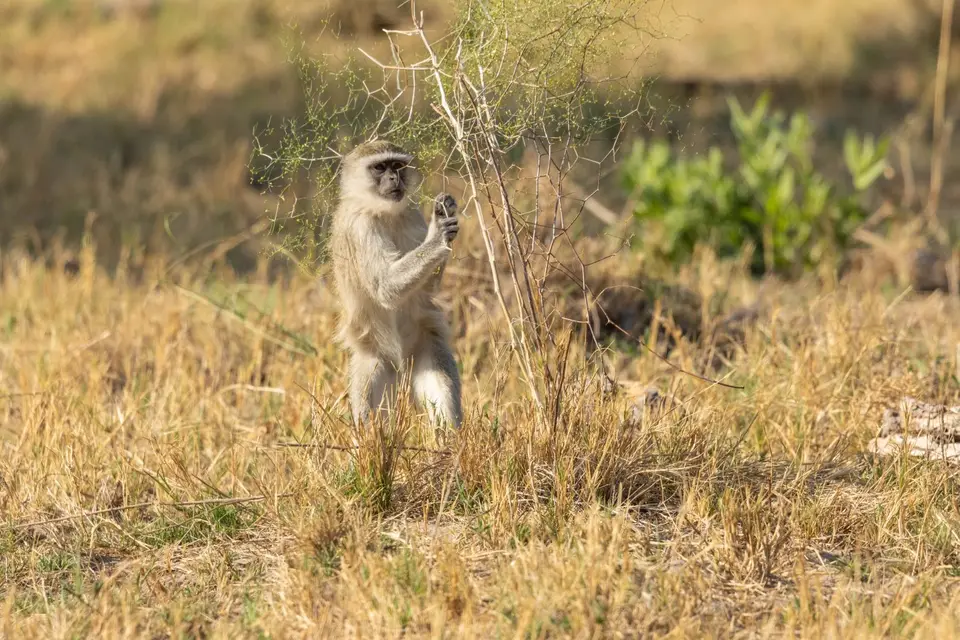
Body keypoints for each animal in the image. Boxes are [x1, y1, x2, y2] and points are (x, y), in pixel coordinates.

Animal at [329, 140, 463, 429]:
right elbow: (385, 288)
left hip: (424, 347)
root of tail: (402, 367)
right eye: (380, 167)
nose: (394, 179)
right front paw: (439, 233)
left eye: (398, 166)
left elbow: (427, 290)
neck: (381, 212)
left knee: (442, 392)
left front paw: (445, 210)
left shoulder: (411, 213)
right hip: (375, 360)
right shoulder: (361, 227)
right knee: (370, 415)